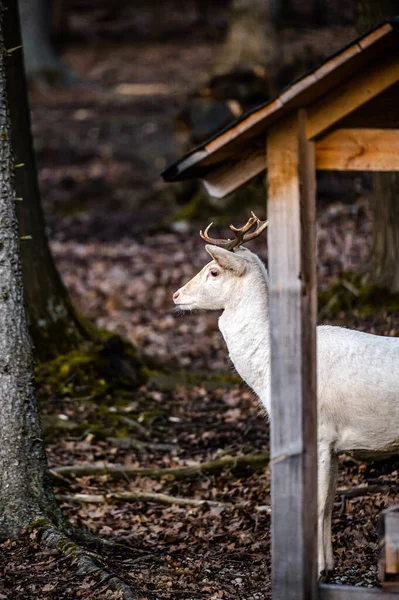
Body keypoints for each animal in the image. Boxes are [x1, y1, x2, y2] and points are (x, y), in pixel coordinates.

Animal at [173, 214, 399, 576]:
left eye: (214, 270)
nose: (176, 295)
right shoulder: (333, 444)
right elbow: (330, 499)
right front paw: (330, 563)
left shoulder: (320, 432)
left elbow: (317, 503)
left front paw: (317, 568)